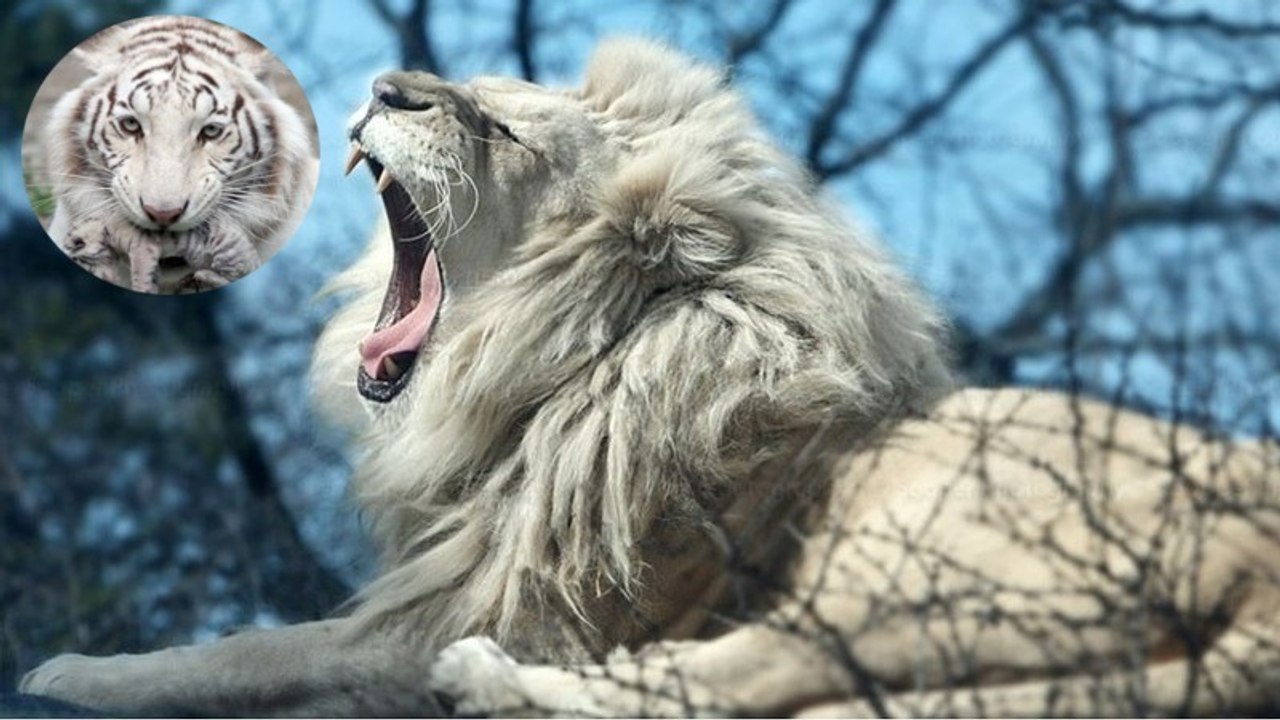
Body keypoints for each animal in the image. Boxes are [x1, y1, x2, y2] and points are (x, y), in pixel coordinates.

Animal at [19, 40, 1280, 717]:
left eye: (505, 132)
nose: (387, 86)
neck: (556, 367)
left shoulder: (468, 612)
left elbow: (251, 651)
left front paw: (77, 667)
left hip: (910, 559)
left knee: (732, 678)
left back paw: (491, 687)